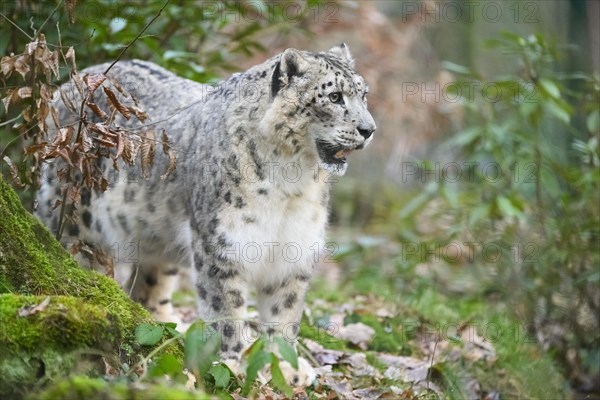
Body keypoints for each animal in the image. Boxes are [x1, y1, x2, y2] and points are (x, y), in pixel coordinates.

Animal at [35, 43, 376, 362]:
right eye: (335, 96)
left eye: (364, 95)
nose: (369, 130)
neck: (292, 184)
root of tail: (72, 81)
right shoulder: (221, 245)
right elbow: (226, 309)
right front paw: (233, 361)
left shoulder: (294, 248)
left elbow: (284, 313)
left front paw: (283, 364)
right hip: (77, 217)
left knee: (149, 286)